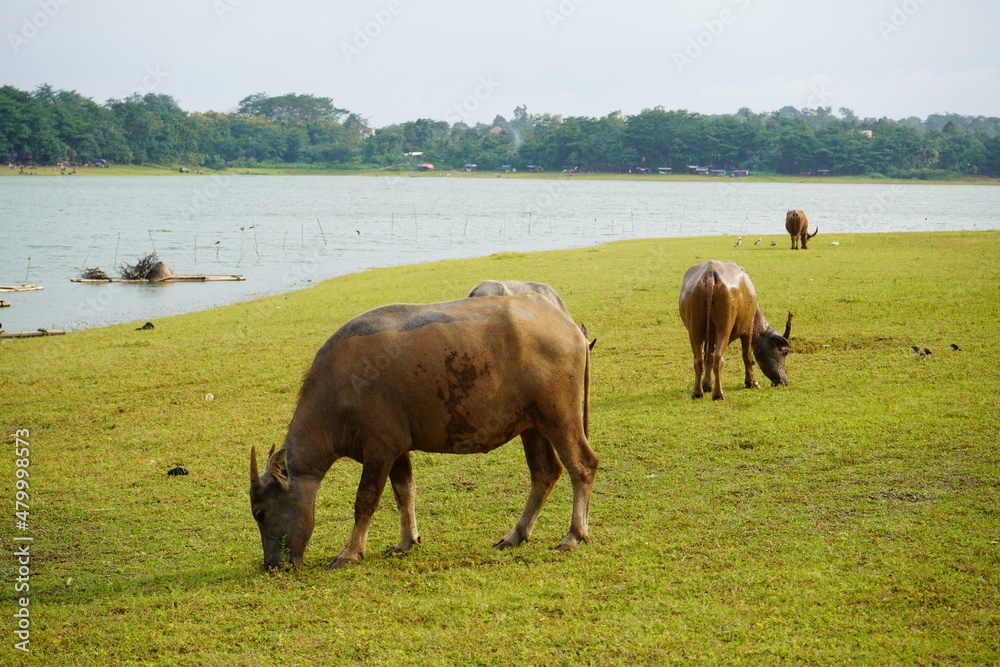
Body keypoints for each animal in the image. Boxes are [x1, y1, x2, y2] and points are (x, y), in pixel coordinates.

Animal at [249, 294, 597, 569]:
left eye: (260, 513)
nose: (272, 565)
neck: (338, 389)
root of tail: (570, 327)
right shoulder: (397, 448)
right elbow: (405, 492)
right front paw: (406, 541)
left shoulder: (379, 449)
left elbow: (366, 500)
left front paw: (349, 552)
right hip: (532, 425)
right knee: (545, 472)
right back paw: (516, 534)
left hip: (559, 416)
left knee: (582, 465)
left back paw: (573, 535)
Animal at [679, 260, 791, 400]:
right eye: (785, 352)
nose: (784, 381)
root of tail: (710, 274)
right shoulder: (748, 329)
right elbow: (747, 356)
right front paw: (752, 383)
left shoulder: (710, 337)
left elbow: (708, 358)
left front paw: (706, 385)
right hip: (724, 328)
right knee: (719, 358)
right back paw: (718, 394)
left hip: (695, 329)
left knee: (699, 359)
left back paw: (697, 392)